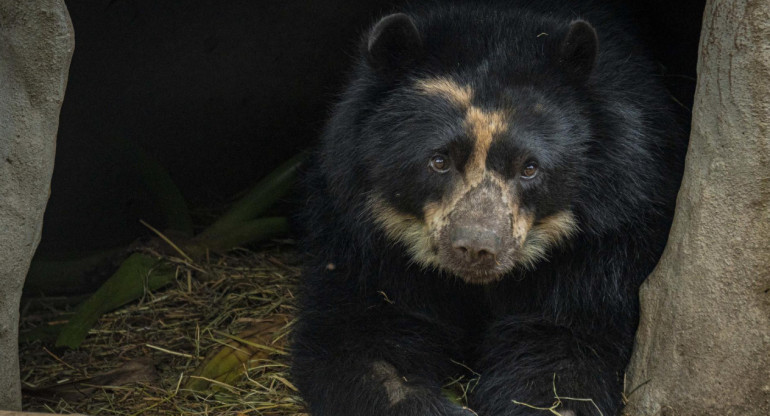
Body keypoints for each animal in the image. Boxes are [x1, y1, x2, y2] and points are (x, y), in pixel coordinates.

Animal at [290, 1, 684, 414]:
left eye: (529, 167)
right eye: (439, 160)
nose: (477, 248)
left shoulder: (604, 248)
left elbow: (560, 351)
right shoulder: (361, 242)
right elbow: (361, 341)